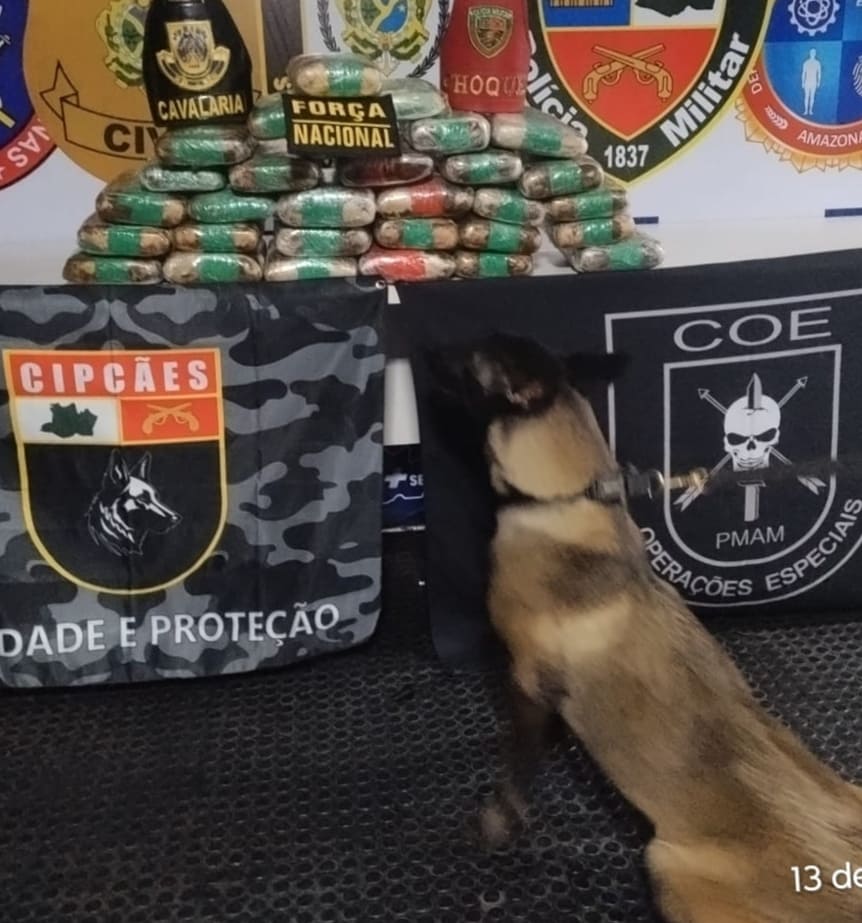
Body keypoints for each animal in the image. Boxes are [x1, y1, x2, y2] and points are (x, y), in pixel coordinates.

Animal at [432, 333, 862, 923]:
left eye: (468, 361)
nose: (423, 353)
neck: (564, 501)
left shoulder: (525, 683)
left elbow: (514, 773)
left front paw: (497, 823)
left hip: (665, 864)